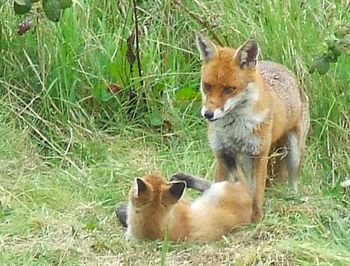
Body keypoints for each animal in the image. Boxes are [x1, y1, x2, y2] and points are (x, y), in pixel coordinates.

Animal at [196, 32, 310, 220]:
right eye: (207, 86)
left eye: (229, 89)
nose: (208, 114)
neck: (233, 130)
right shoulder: (222, 153)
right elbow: (220, 186)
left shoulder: (259, 154)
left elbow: (257, 193)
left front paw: (256, 218)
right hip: (243, 159)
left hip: (293, 152)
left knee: (293, 180)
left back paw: (293, 197)